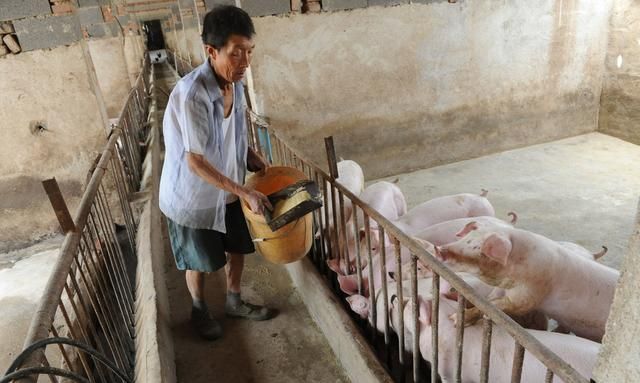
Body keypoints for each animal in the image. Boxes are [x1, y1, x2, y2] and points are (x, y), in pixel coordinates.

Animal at [438, 224, 616, 344]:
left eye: (480, 249)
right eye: (466, 238)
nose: (439, 250)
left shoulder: (528, 297)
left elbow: (494, 307)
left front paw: (454, 319)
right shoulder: (501, 290)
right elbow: (487, 301)